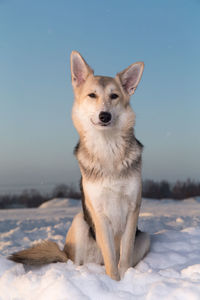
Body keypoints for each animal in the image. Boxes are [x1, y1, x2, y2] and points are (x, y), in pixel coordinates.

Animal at [9, 51, 150, 282]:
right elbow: (112, 261)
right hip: (80, 223)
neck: (107, 147)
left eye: (114, 96)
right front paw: (114, 283)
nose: (104, 116)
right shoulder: (99, 213)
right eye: (92, 95)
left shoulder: (132, 209)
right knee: (76, 262)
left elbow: (124, 258)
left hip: (145, 237)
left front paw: (125, 280)